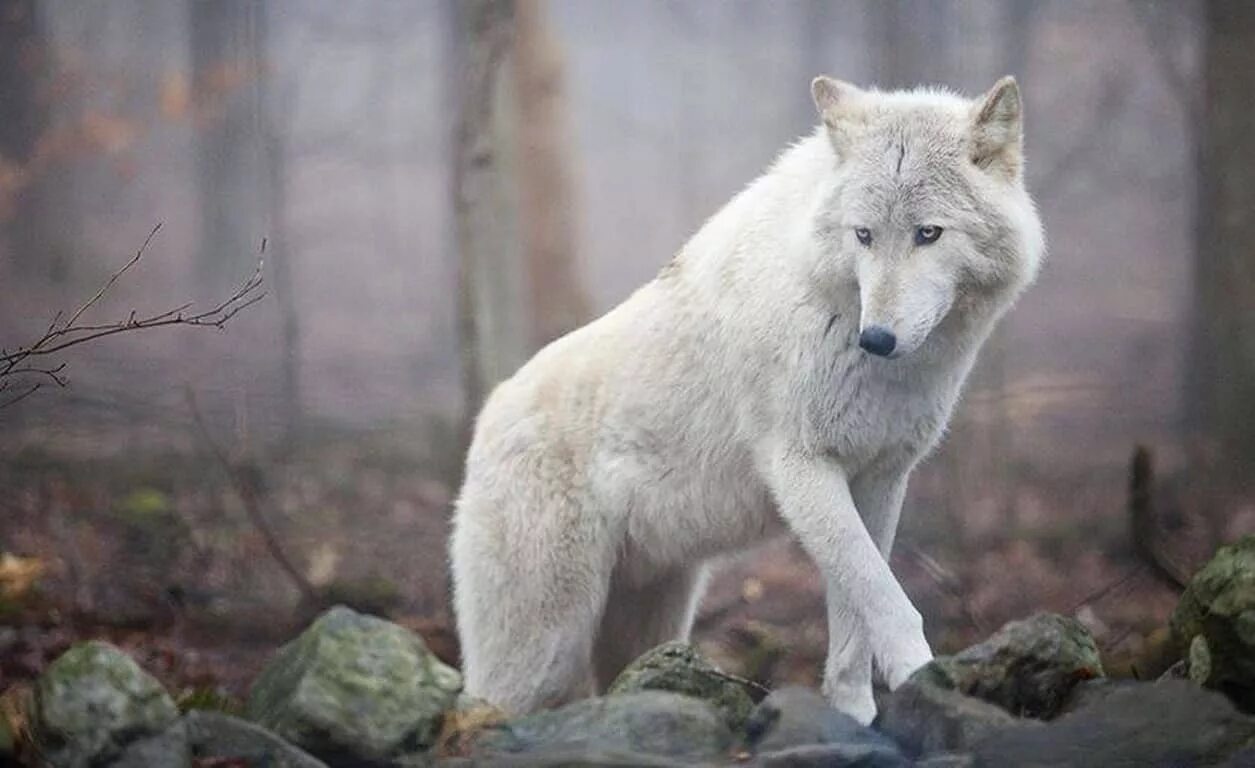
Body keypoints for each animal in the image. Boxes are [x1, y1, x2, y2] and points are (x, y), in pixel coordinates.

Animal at [446, 74, 1044, 722]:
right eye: (863, 235)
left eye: (927, 233)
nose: (878, 338)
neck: (836, 310)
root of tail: (487, 417)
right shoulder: (801, 469)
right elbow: (886, 597)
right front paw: (921, 676)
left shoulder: (880, 479)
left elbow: (854, 619)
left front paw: (855, 717)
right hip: (546, 650)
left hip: (651, 617)